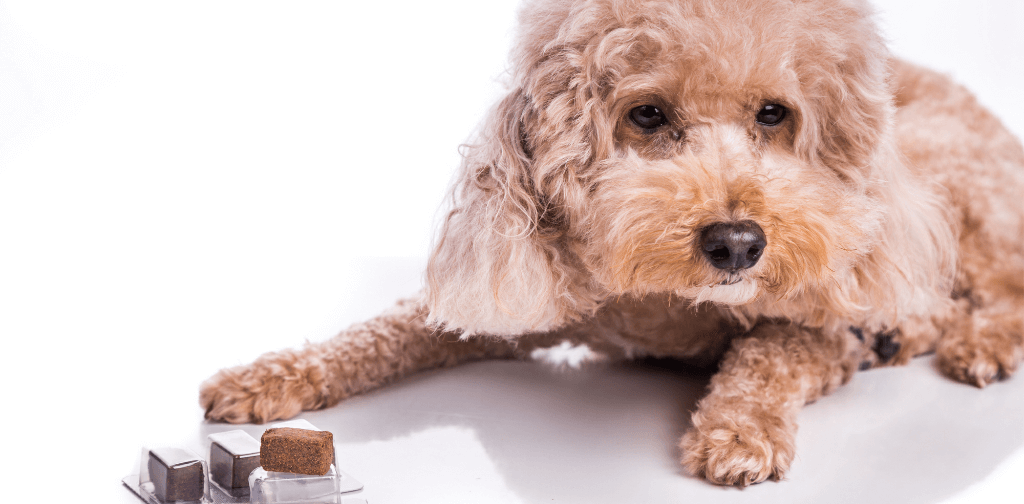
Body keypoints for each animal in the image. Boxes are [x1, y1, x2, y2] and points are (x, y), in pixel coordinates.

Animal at [199, 0, 1024, 485]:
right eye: (648, 114)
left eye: (773, 114)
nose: (736, 243)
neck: (672, 303)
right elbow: (382, 331)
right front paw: (268, 376)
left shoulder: (819, 321)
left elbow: (770, 350)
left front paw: (737, 431)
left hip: (961, 187)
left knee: (1001, 283)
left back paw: (973, 340)